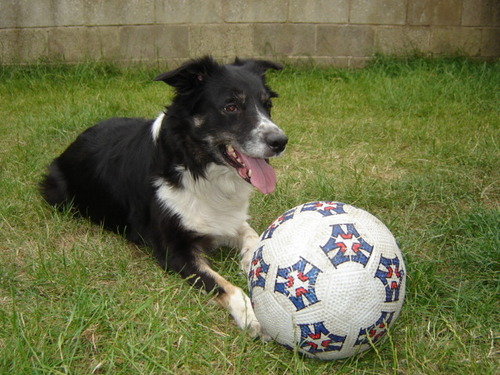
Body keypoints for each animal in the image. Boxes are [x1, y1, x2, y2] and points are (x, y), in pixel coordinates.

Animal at [39, 56, 288, 338]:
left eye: (268, 105)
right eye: (231, 106)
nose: (280, 141)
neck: (196, 167)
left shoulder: (225, 220)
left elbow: (252, 235)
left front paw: (250, 261)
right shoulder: (173, 250)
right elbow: (223, 284)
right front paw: (251, 316)